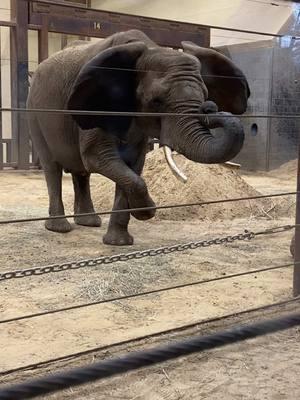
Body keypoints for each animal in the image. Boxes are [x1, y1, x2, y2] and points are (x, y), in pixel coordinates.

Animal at [27, 28, 250, 244]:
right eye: (156, 101)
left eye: (205, 97)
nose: (210, 108)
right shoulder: (97, 105)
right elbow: (97, 157)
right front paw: (146, 212)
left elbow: (134, 164)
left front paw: (119, 242)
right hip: (35, 114)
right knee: (52, 168)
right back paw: (59, 228)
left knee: (81, 172)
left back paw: (89, 223)